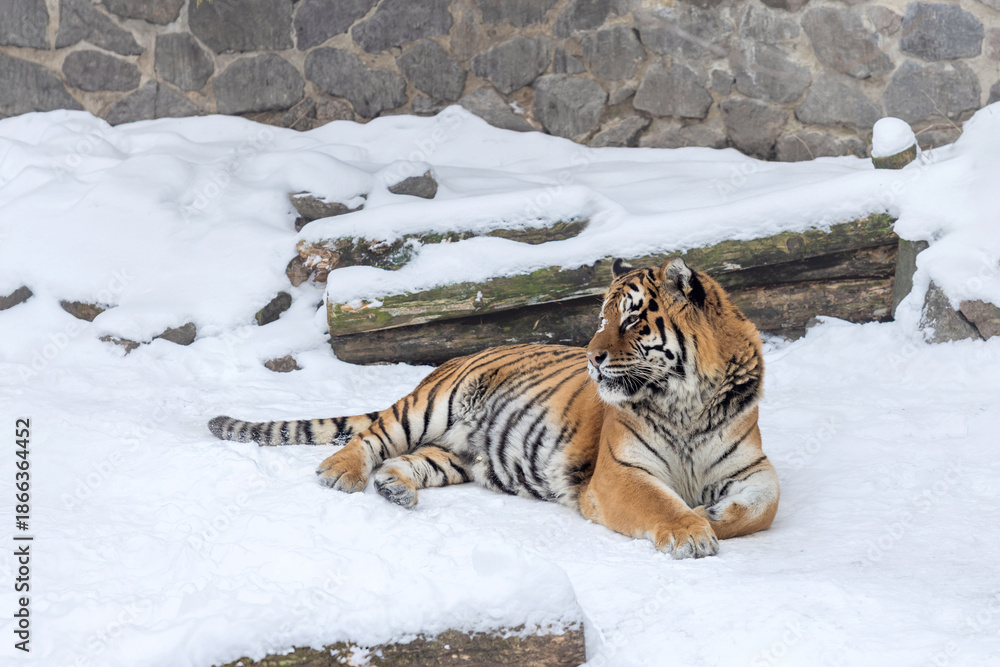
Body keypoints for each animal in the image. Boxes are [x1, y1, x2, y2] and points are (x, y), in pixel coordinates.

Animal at [209, 258, 779, 559]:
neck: (688, 403)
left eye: (634, 320)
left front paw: (709, 515)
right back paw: (340, 472)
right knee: (371, 437)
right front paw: (691, 531)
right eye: (602, 318)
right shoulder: (620, 473)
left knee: (408, 461)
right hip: (429, 407)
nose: (592, 356)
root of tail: (456, 357)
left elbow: (761, 508)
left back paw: (395, 489)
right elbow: (661, 503)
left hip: (456, 454)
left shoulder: (754, 468)